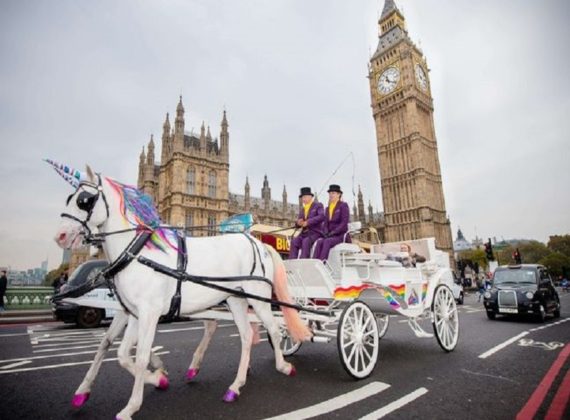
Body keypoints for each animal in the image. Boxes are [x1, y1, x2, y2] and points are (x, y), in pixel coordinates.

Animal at [52, 165, 310, 420]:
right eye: (70, 198)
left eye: (85, 200)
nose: (60, 236)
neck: (138, 253)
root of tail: (259, 243)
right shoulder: (133, 312)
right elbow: (116, 349)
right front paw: (151, 378)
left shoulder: (148, 312)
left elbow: (140, 353)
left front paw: (133, 403)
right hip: (234, 299)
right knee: (245, 334)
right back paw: (234, 385)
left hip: (258, 296)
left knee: (273, 328)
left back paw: (283, 366)